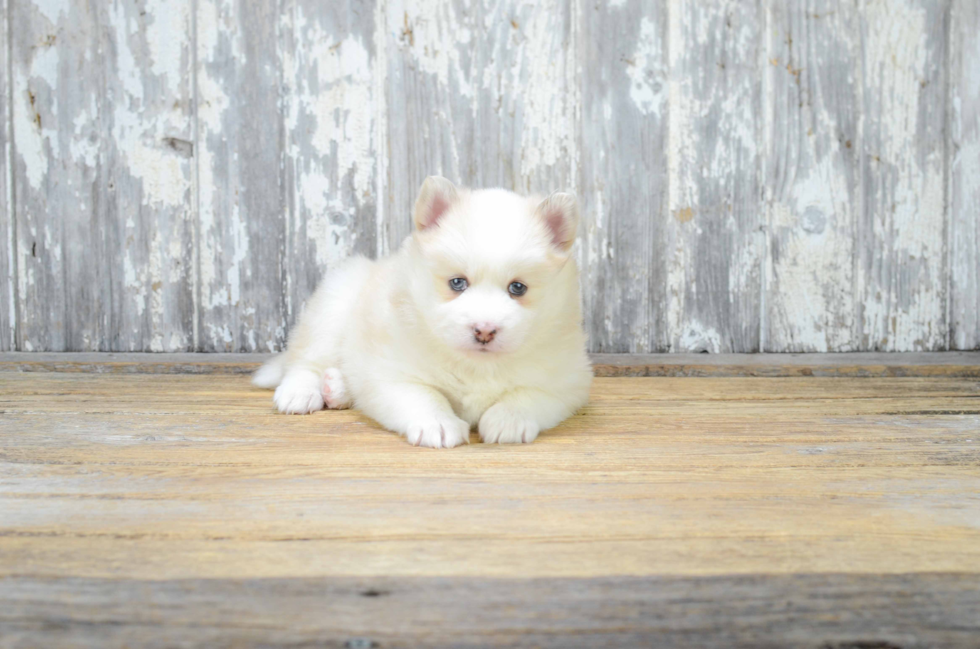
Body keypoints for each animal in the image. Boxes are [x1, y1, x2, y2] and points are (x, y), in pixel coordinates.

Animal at [253, 175, 588, 448]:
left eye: (518, 288)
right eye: (457, 283)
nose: (484, 331)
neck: (475, 366)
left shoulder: (566, 380)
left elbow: (529, 394)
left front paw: (508, 419)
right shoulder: (393, 373)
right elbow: (424, 395)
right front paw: (437, 424)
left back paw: (337, 387)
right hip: (334, 306)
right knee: (305, 359)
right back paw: (301, 392)